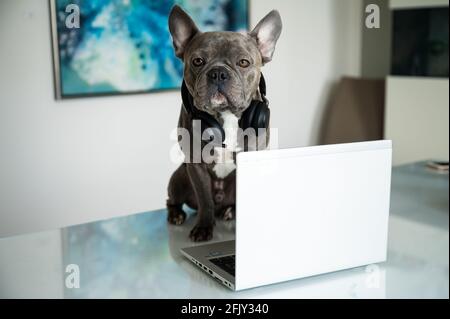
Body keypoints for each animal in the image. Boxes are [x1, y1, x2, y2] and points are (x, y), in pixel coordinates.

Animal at [167, 5, 284, 241]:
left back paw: (230, 211)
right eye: (197, 61)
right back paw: (176, 214)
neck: (226, 114)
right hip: (179, 177)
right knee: (173, 200)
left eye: (243, 62)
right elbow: (205, 200)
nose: (218, 73)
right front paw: (204, 227)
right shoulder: (195, 164)